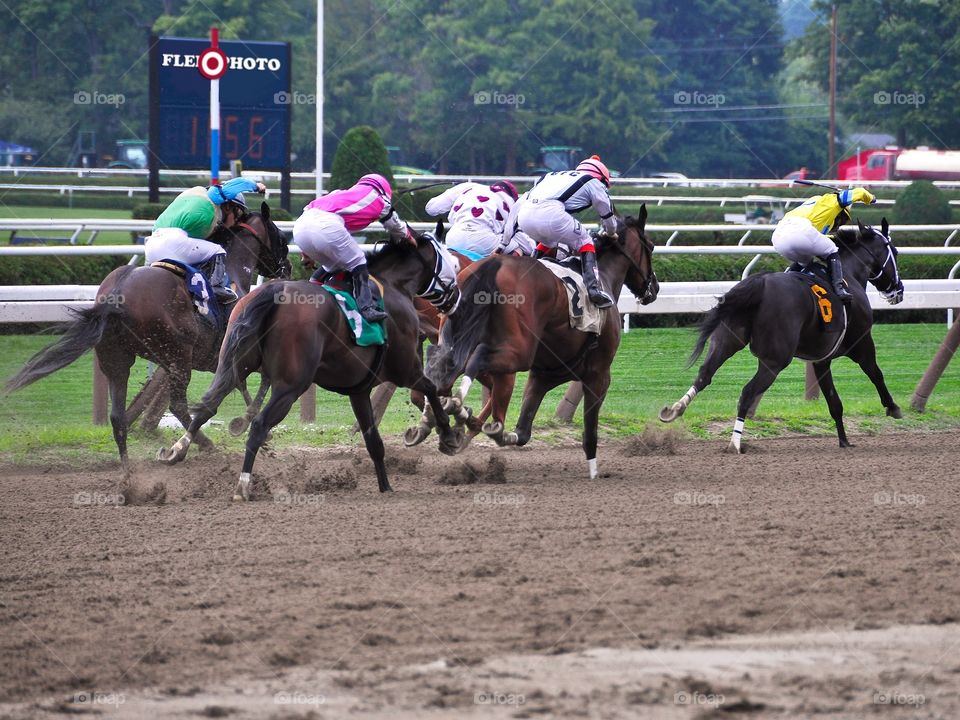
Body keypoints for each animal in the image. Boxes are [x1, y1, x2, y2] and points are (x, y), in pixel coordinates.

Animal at [5, 204, 290, 472]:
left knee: (118, 416)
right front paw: (250, 427)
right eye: (280, 235)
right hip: (178, 356)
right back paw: (194, 447)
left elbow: (241, 386)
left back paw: (129, 471)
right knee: (177, 406)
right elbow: (249, 385)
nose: (286, 268)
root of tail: (117, 293)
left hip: (117, 359)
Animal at [158, 232, 464, 500]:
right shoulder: (405, 370)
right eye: (452, 261)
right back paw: (243, 486)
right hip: (291, 385)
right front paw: (448, 437)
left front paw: (386, 486)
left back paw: (176, 450)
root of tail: (275, 290)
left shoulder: (359, 390)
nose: (455, 298)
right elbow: (431, 389)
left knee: (207, 407)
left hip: (233, 364)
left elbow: (374, 442)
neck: (393, 286)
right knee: (259, 425)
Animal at [428, 205, 660, 480]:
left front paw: (487, 429)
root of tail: (494, 263)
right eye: (651, 246)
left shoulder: (542, 375)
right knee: (475, 359)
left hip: (454, 331)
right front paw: (594, 471)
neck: (602, 276)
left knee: (442, 365)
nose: (655, 288)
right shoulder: (599, 375)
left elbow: (521, 432)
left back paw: (442, 417)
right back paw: (456, 405)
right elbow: (589, 431)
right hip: (519, 351)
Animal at [664, 219, 904, 452]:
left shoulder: (821, 359)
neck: (849, 273)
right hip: (775, 360)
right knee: (747, 392)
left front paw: (844, 441)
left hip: (726, 341)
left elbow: (834, 401)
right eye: (895, 251)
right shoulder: (862, 343)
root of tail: (759, 284)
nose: (899, 290)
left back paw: (675, 409)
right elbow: (876, 373)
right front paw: (893, 407)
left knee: (704, 374)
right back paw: (735, 443)